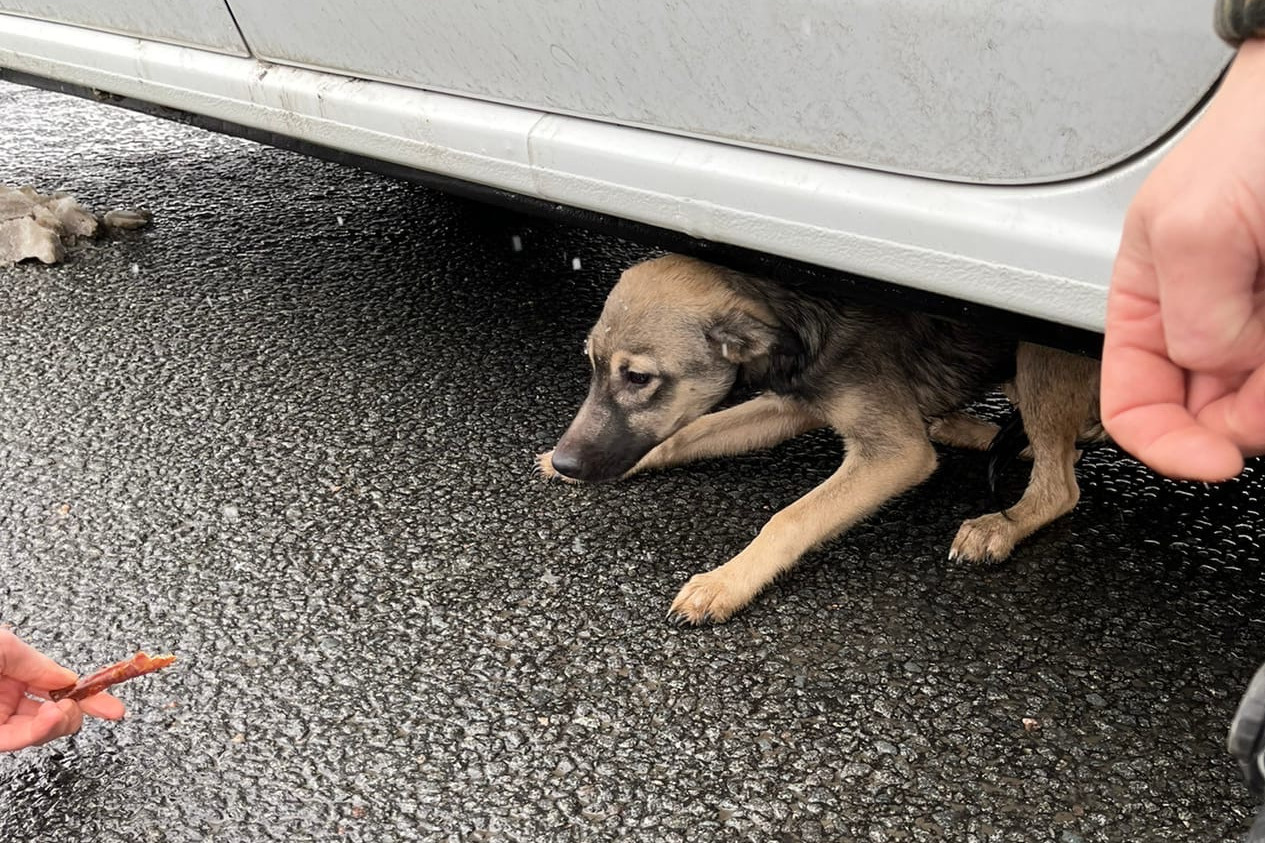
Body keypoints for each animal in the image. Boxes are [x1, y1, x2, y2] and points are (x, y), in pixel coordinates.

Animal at [538, 253, 1103, 620]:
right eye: (590, 364)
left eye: (638, 378)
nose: (567, 462)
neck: (802, 312)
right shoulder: (791, 406)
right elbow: (689, 432)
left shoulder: (894, 452)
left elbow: (790, 519)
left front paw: (727, 582)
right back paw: (966, 427)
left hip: (1043, 352)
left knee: (1062, 485)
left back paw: (1000, 525)